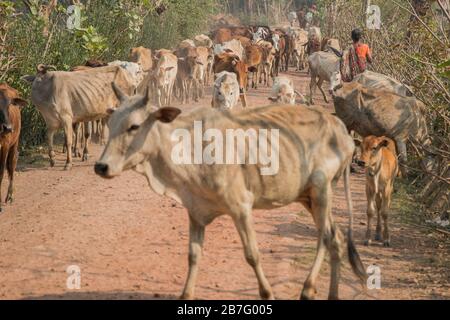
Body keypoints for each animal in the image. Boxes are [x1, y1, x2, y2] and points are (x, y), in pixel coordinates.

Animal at [94, 87, 366, 300]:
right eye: (110, 124)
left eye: (134, 126)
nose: (101, 166)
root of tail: (341, 129)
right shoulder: (195, 211)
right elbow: (193, 255)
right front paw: (186, 294)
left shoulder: (241, 207)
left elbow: (252, 255)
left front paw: (267, 293)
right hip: (309, 197)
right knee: (336, 239)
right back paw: (332, 294)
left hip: (321, 190)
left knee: (325, 237)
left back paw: (308, 289)